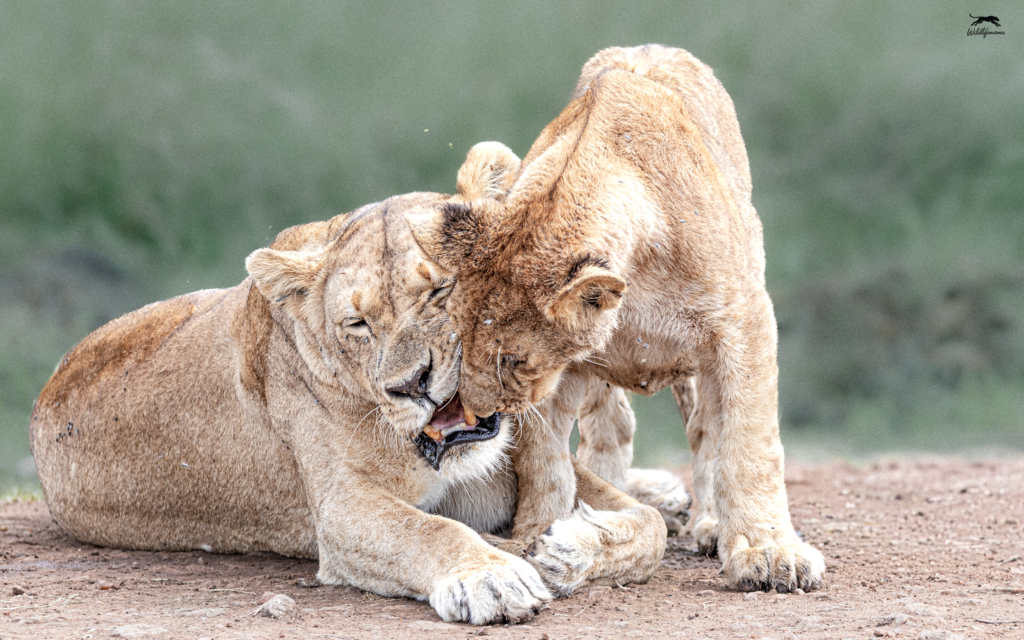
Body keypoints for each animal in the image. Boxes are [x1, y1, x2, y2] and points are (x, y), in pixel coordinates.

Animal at [30, 188, 667, 624]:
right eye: (358, 324)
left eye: (441, 290)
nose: (412, 385)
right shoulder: (343, 510)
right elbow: (430, 530)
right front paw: (492, 577)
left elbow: (648, 528)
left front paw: (572, 548)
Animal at [407, 44, 826, 593]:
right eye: (456, 347)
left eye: (515, 362)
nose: (476, 416)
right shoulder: (560, 377)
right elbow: (545, 463)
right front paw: (540, 537)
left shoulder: (743, 324)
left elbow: (748, 443)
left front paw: (769, 551)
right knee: (613, 428)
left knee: (704, 430)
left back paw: (712, 523)